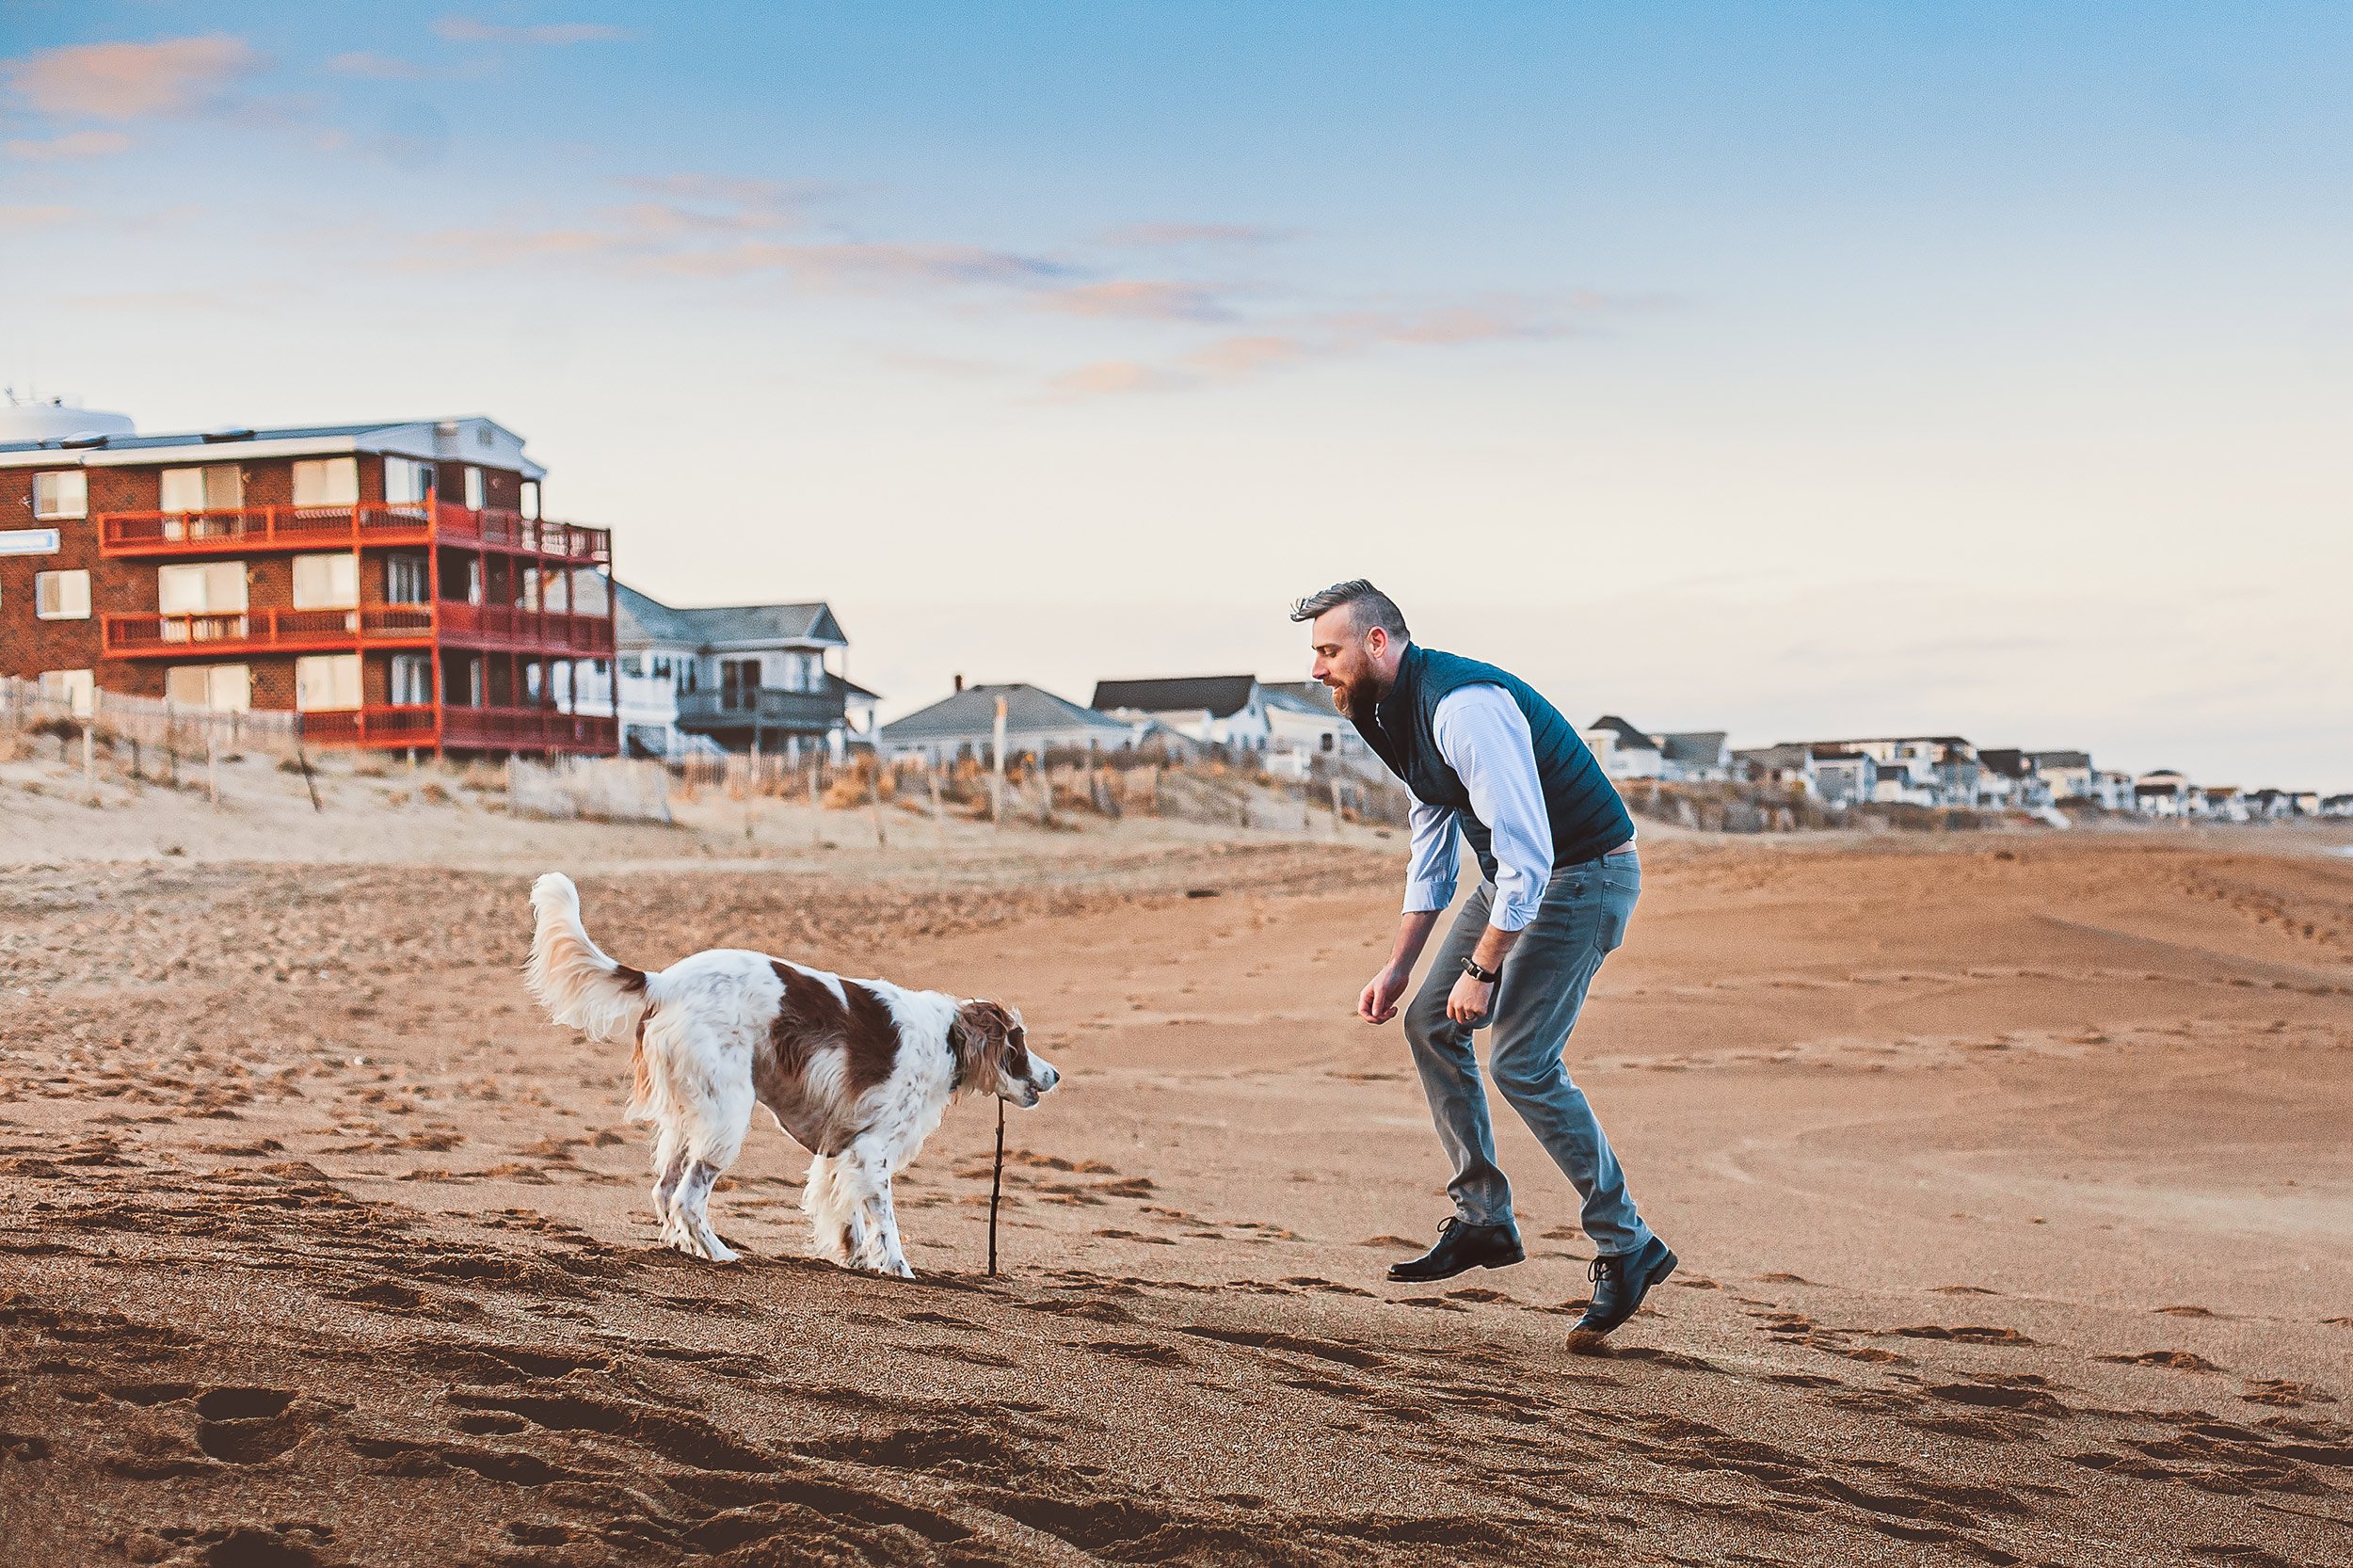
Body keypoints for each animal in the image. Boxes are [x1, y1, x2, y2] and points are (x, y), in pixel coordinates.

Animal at [534, 866, 1059, 1271]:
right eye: (1018, 1042)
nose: (1054, 1075)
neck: (947, 1040)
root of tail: (663, 982)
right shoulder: (872, 1151)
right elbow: (886, 1226)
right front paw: (899, 1269)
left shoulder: (842, 1149)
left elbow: (850, 1220)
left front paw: (856, 1260)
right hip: (727, 1116)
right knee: (687, 1198)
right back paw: (720, 1254)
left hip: (690, 1117)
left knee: (665, 1192)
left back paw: (689, 1250)